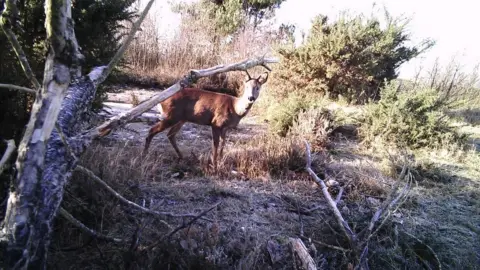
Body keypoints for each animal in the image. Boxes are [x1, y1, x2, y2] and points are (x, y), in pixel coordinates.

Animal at [142, 70, 270, 170]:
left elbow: (223, 144)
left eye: (258, 87)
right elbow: (215, 144)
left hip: (181, 118)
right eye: (246, 87)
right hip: (171, 116)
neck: (235, 108)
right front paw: (214, 165)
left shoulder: (225, 128)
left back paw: (182, 157)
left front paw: (221, 162)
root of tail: (160, 100)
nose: (250, 97)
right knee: (152, 130)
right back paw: (144, 156)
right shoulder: (216, 123)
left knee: (170, 134)